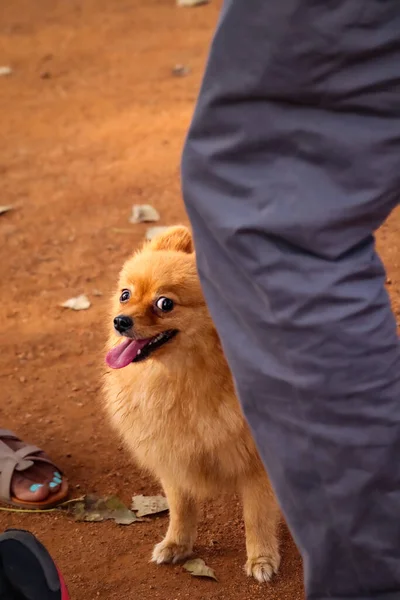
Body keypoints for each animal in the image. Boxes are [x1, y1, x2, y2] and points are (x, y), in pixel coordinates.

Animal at [103, 225, 280, 580]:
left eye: (165, 303)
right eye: (125, 294)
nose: (120, 321)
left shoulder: (256, 465)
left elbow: (257, 517)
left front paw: (262, 559)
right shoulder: (174, 456)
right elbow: (181, 510)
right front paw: (177, 545)